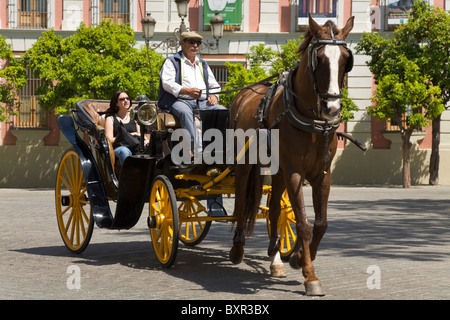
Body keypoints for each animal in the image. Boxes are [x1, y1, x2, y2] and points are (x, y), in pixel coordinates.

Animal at [230, 13, 354, 296]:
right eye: (319, 59)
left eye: (345, 59)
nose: (332, 108)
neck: (312, 122)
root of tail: (244, 94)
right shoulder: (295, 172)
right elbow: (304, 223)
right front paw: (310, 275)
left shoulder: (322, 174)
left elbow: (320, 223)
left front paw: (297, 257)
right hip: (245, 164)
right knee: (241, 199)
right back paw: (237, 247)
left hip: (278, 171)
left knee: (275, 209)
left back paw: (275, 259)